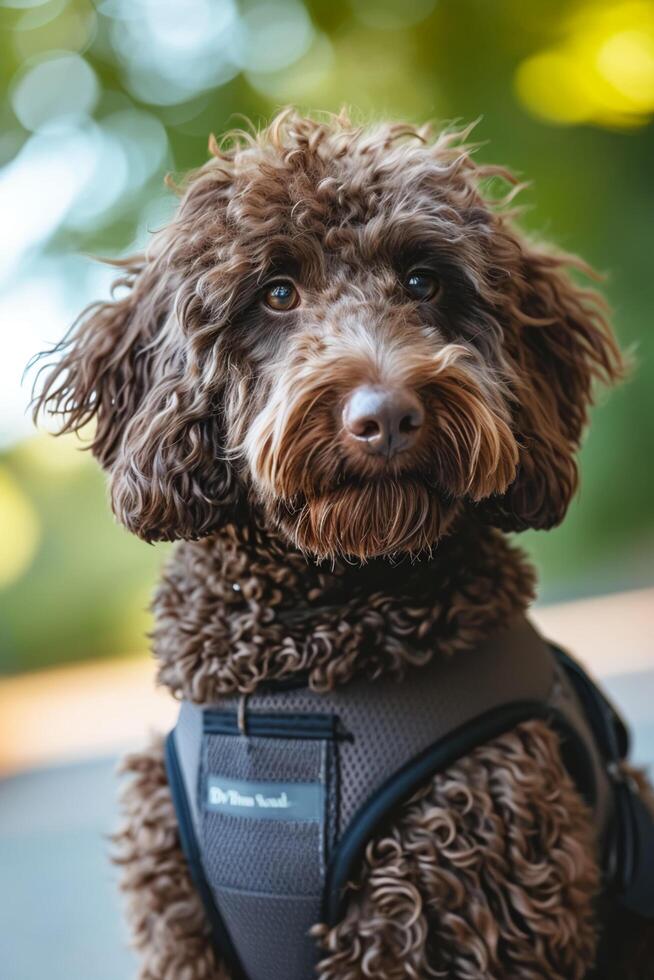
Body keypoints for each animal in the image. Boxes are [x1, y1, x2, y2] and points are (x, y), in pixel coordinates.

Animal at [37, 113, 654, 980]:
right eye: (277, 292)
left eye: (425, 282)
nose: (387, 415)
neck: (301, 671)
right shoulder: (180, 923)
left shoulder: (454, 890)